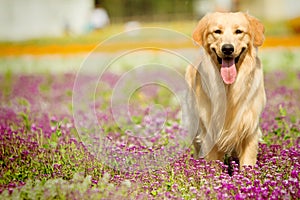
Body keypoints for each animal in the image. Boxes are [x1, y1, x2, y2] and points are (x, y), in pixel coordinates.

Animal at [186, 12, 266, 169]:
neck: (229, 88)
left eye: (239, 31)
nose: (227, 48)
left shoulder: (250, 130)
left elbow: (247, 163)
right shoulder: (209, 133)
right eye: (217, 31)